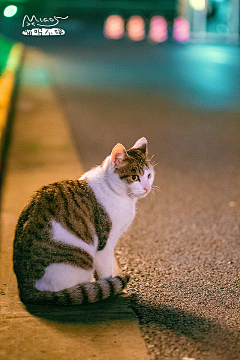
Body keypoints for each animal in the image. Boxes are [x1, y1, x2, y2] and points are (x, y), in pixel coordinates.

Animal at [13, 136, 155, 306]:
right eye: (134, 177)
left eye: (149, 176)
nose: (147, 188)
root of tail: (25, 288)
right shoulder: (105, 243)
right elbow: (106, 270)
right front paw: (109, 286)